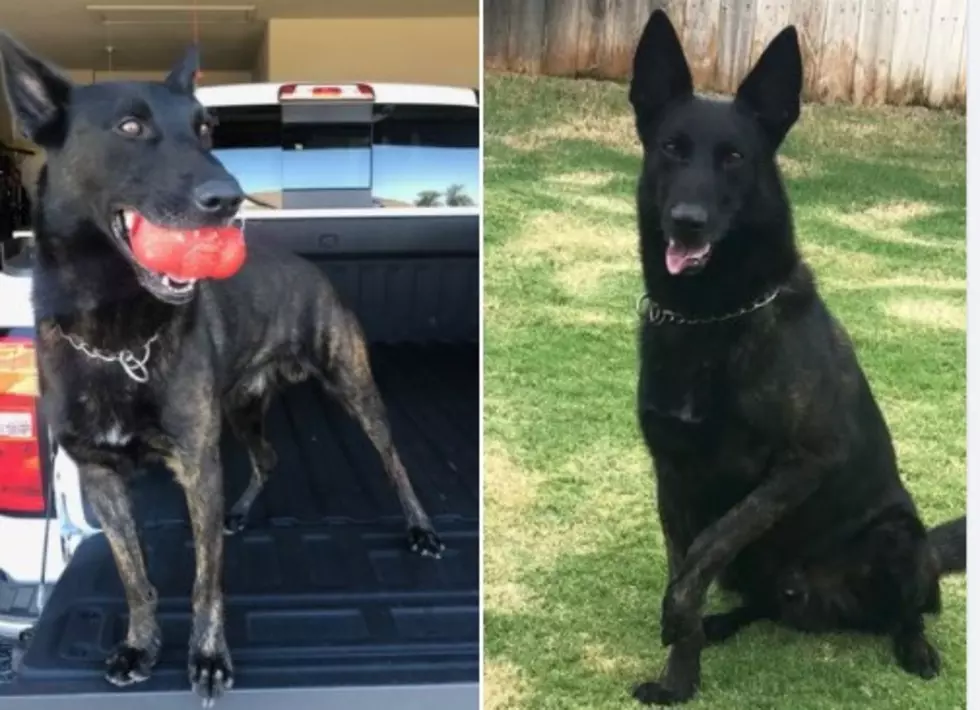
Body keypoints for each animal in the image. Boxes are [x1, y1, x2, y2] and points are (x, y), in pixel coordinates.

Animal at [0, 32, 444, 708]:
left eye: (205, 129)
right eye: (130, 126)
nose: (229, 199)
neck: (116, 334)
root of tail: (310, 268)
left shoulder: (195, 464)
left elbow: (206, 581)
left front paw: (207, 657)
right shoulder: (103, 476)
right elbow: (133, 575)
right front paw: (141, 644)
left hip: (351, 389)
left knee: (393, 460)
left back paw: (418, 527)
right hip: (241, 410)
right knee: (270, 457)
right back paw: (240, 512)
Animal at [628, 9, 964, 708]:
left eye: (734, 158)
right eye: (672, 148)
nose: (687, 222)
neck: (710, 316)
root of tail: (824, 605)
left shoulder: (805, 462)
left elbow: (713, 539)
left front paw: (677, 624)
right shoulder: (671, 475)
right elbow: (690, 560)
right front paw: (680, 677)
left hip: (898, 535)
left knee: (908, 609)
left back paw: (915, 647)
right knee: (762, 604)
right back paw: (724, 623)